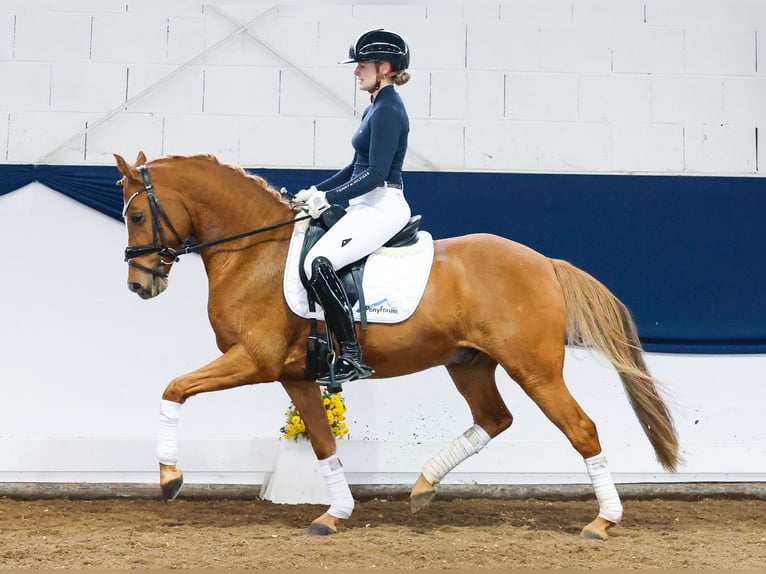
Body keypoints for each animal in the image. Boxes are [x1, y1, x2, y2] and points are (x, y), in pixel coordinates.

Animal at [114, 151, 680, 544]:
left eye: (137, 216)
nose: (140, 285)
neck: (257, 254)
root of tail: (544, 262)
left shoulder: (254, 360)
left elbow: (174, 389)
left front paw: (169, 478)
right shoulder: (295, 376)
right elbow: (323, 443)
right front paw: (333, 515)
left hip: (535, 369)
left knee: (581, 429)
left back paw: (603, 522)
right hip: (469, 364)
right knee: (494, 419)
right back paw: (424, 485)